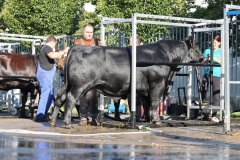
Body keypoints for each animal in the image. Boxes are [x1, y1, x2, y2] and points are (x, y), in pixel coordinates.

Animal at [50, 37, 202, 127]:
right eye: (196, 47)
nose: (203, 57)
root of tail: (77, 48)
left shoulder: (144, 89)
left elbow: (146, 104)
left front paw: (147, 119)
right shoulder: (158, 83)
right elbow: (155, 102)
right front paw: (157, 120)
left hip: (68, 84)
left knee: (59, 98)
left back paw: (52, 121)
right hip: (79, 85)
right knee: (70, 99)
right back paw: (67, 122)